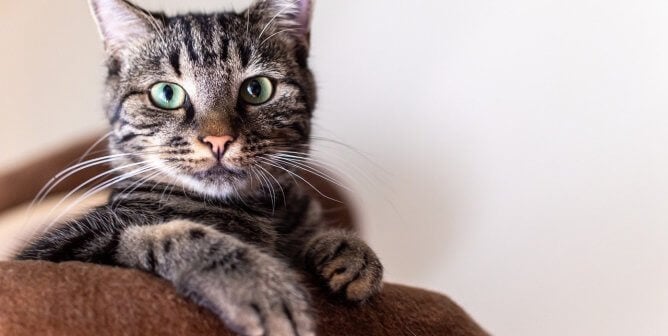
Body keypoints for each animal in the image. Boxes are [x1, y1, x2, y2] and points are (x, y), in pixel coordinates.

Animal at [15, 0, 380, 336]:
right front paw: (260, 285)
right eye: (166, 93)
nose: (219, 139)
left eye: (258, 89)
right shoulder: (59, 248)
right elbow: (176, 235)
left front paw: (350, 252)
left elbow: (316, 231)